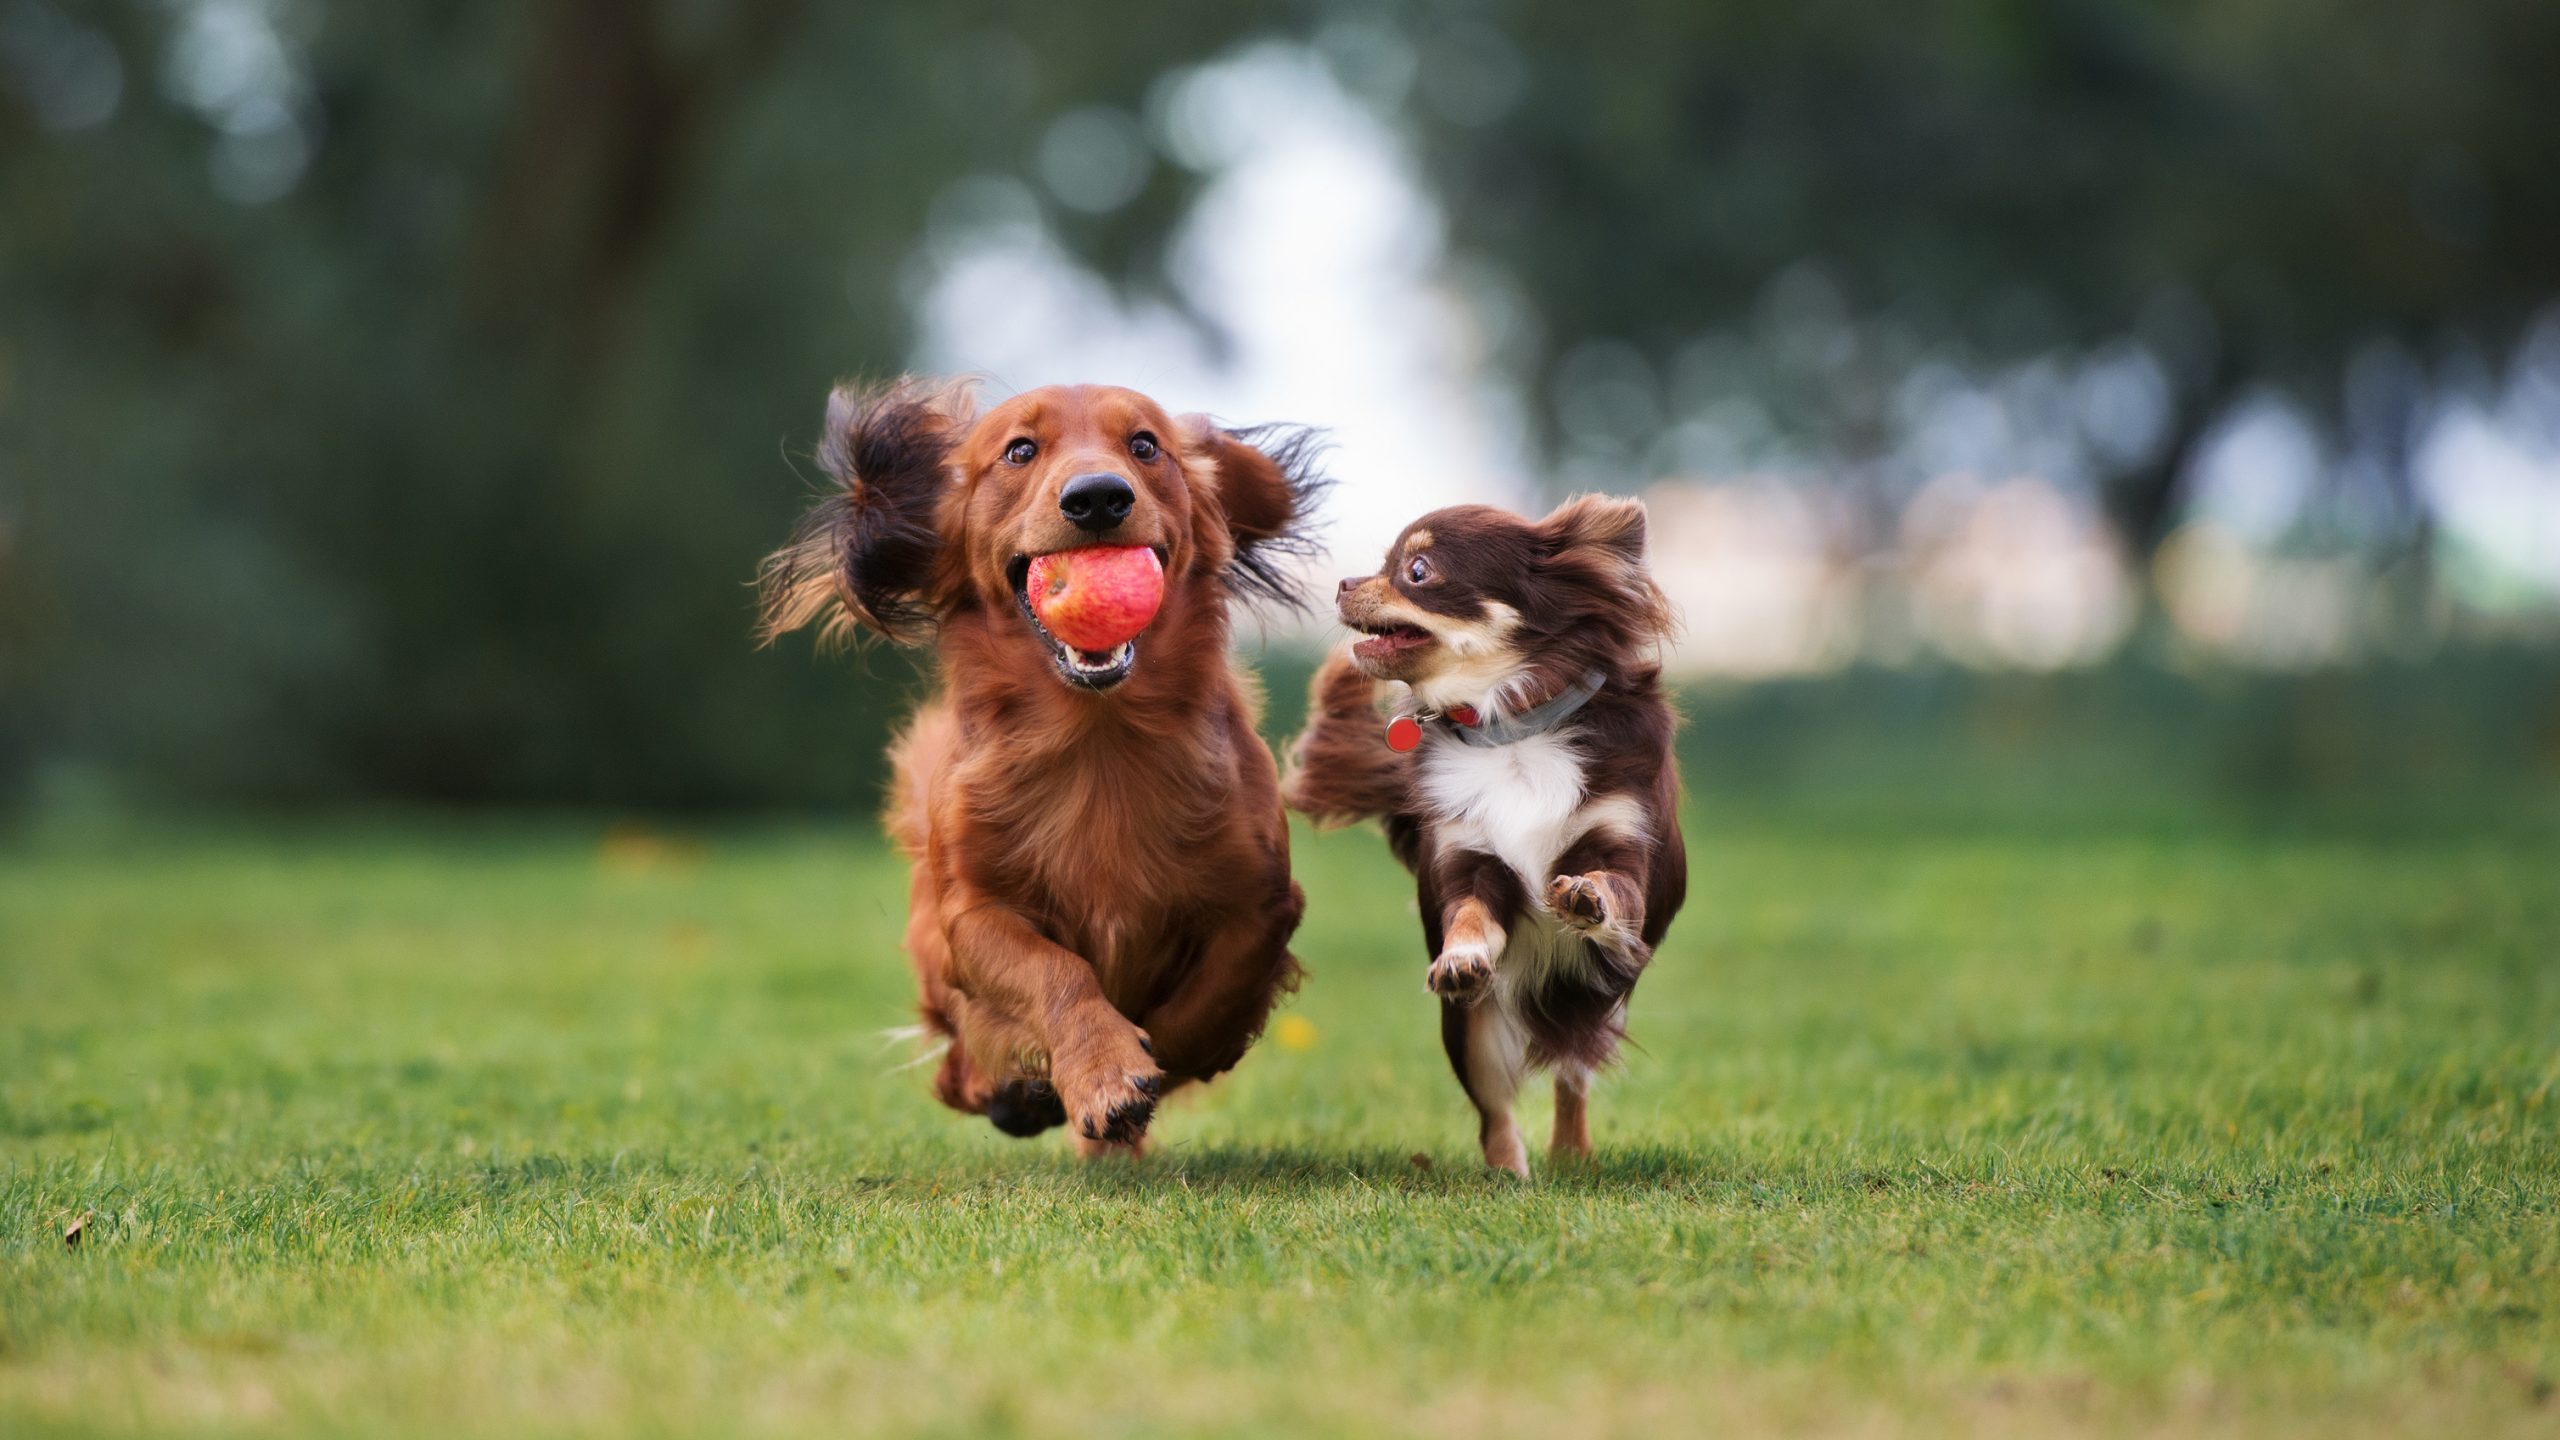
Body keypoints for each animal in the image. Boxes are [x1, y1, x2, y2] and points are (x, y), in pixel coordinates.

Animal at [752, 376, 1320, 1147]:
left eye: (1146, 445)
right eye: (1020, 450)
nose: (1098, 497)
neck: (1098, 739)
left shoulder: (1262, 901)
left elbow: (1209, 998)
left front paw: (1150, 1062)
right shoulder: (972, 915)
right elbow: (1055, 971)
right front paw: (1103, 1071)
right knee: (955, 1069)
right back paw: (1016, 1092)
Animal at [1290, 499, 1689, 1173]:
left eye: (1417, 571)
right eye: (1383, 564)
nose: (1344, 582)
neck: (1511, 731)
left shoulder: (1622, 846)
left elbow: (1612, 886)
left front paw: (1585, 895)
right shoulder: (1469, 861)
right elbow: (1471, 916)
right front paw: (1461, 957)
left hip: (1595, 1002)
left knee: (1571, 1074)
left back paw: (1571, 1154)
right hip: (1471, 1032)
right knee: (1495, 1110)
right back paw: (1509, 1174)